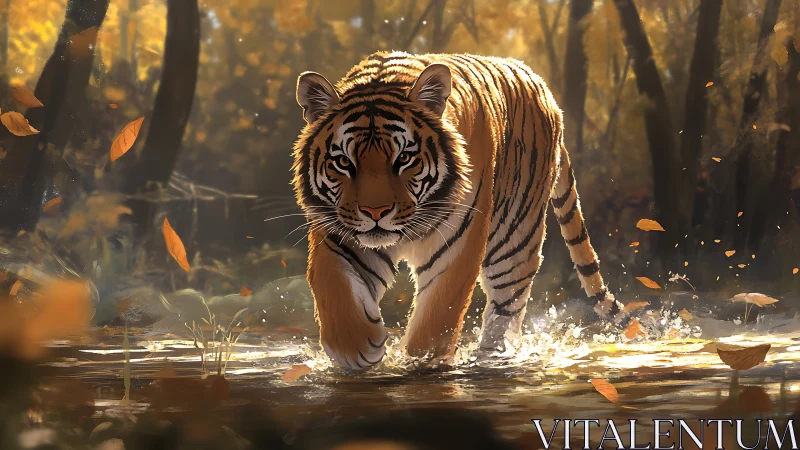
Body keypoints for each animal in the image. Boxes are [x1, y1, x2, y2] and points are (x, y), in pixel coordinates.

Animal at [292, 51, 626, 370]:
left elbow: (437, 315)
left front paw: (421, 363)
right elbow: (332, 286)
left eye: (404, 158)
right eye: (343, 162)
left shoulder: (458, 243)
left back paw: (493, 357)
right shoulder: (338, 237)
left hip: (514, 241)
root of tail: (543, 87)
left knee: (507, 310)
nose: (376, 212)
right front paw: (356, 347)